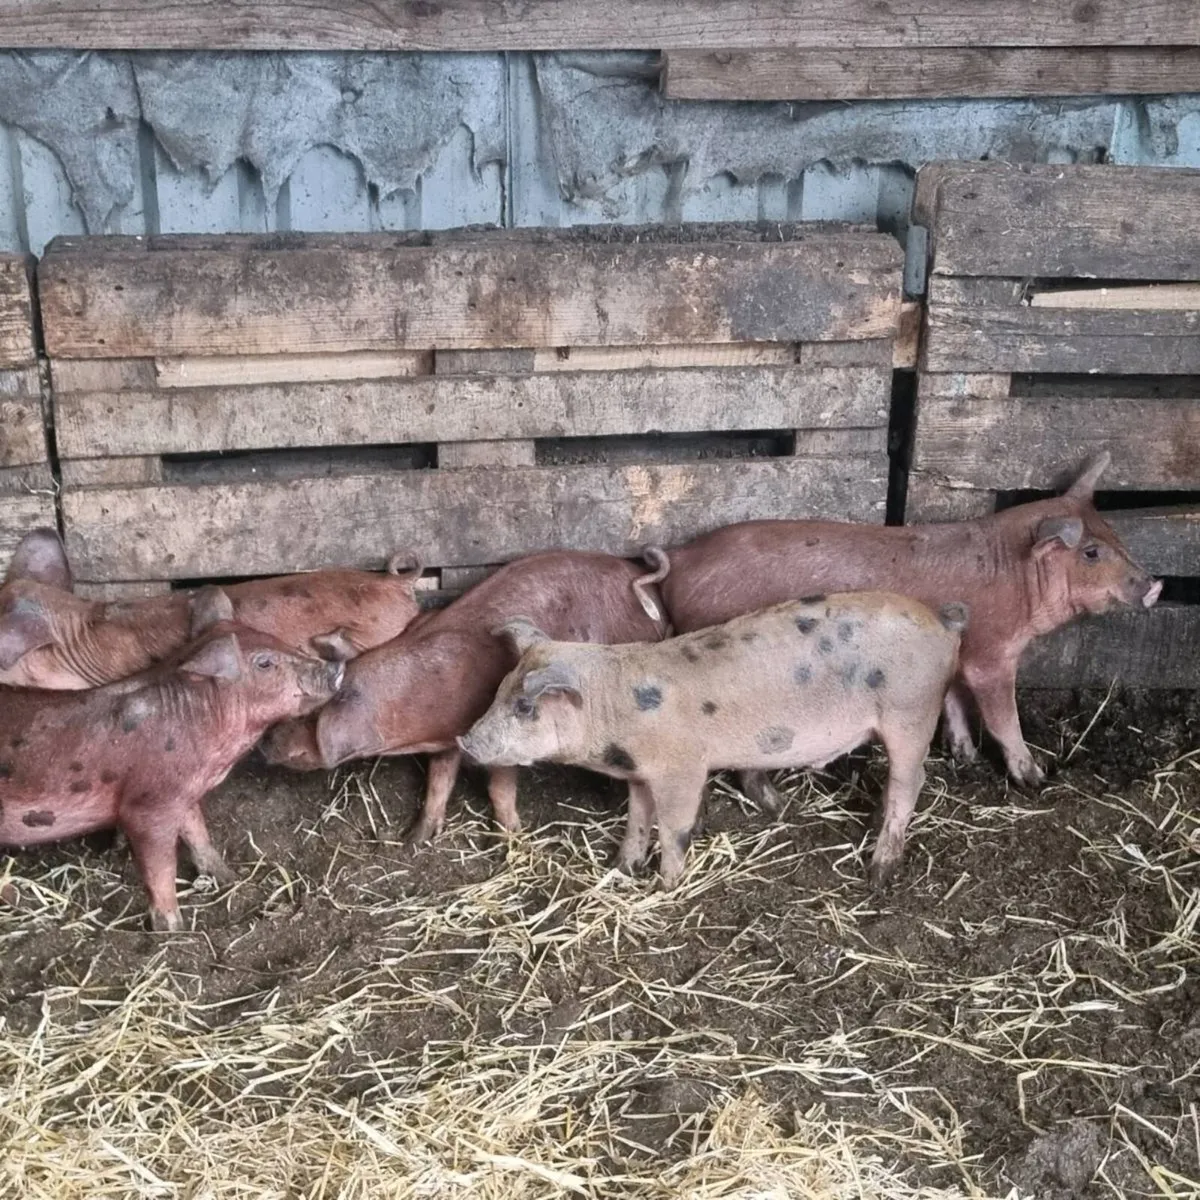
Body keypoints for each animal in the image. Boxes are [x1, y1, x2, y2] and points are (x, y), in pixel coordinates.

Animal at [0, 587, 343, 930]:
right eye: (264, 663)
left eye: (273, 638)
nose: (337, 667)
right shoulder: (147, 807)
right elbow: (161, 868)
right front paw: (173, 929)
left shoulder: (182, 792)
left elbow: (197, 832)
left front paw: (229, 877)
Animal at [261, 549, 670, 841]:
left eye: (306, 715)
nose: (263, 741)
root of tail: (648, 592)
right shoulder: (446, 740)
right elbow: (438, 782)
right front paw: (415, 839)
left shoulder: (502, 734)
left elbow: (499, 788)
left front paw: (512, 838)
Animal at [459, 593, 968, 888]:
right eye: (500, 691)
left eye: (525, 708)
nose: (465, 741)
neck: (615, 707)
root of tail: (944, 622)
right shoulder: (639, 774)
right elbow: (637, 820)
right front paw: (621, 870)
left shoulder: (681, 769)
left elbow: (674, 827)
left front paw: (666, 886)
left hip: (911, 712)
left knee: (910, 782)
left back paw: (878, 872)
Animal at [648, 453, 1160, 797]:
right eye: (1091, 552)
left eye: (1115, 535)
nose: (1154, 585)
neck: (1016, 577)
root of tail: (680, 556)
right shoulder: (992, 654)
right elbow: (1002, 716)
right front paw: (1034, 777)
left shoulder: (957, 654)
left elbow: (954, 700)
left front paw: (963, 755)